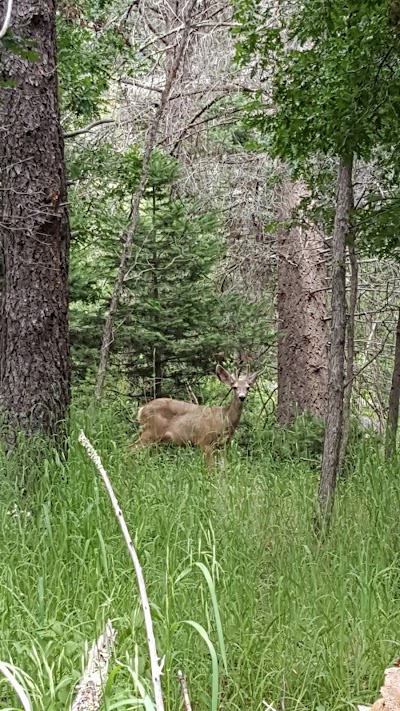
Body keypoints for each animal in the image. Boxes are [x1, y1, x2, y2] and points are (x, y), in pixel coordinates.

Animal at [132, 368, 262, 468]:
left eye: (248, 387)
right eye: (234, 387)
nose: (242, 397)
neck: (224, 419)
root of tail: (141, 409)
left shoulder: (222, 446)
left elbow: (222, 469)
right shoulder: (205, 441)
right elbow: (211, 469)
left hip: (156, 438)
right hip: (150, 432)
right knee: (130, 449)